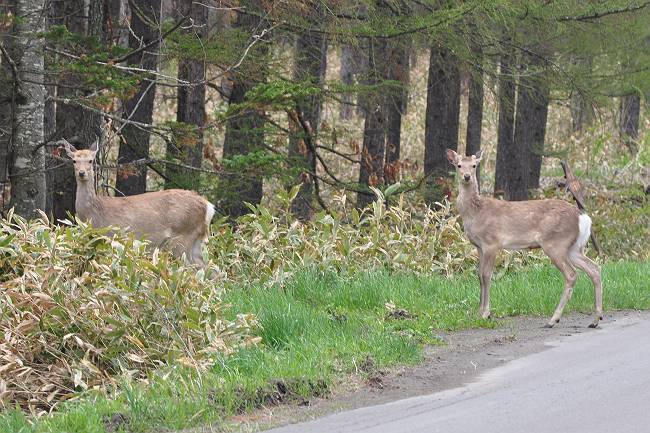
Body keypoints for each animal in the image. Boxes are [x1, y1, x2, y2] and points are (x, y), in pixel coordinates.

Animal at [62, 140, 213, 264]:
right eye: (74, 161)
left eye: (90, 160)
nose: (82, 173)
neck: (93, 214)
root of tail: (208, 207)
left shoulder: (113, 237)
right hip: (195, 240)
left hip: (182, 236)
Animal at [446, 149, 604, 328]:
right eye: (459, 165)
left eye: (474, 165)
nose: (466, 176)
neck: (475, 213)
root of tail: (583, 218)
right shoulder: (478, 246)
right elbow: (479, 275)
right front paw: (479, 312)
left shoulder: (491, 243)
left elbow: (486, 275)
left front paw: (485, 313)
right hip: (574, 248)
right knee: (594, 269)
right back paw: (595, 319)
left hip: (555, 243)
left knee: (572, 274)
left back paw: (553, 319)